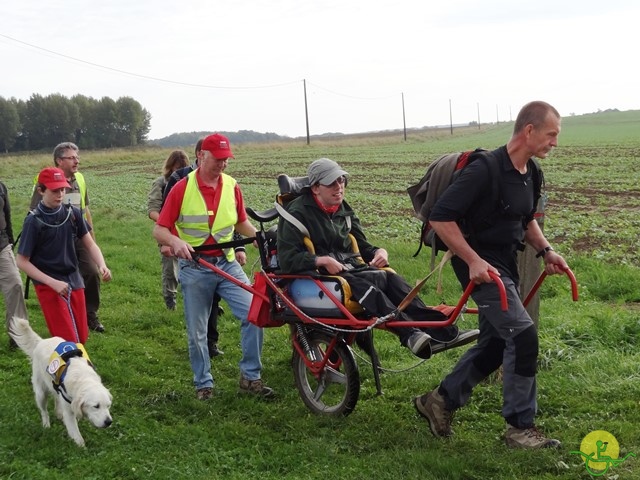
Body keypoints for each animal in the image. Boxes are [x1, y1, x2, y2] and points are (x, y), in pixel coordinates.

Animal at [9, 316, 112, 448]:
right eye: (96, 406)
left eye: (108, 406)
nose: (109, 422)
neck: (83, 378)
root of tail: (41, 341)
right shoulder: (69, 411)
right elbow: (76, 433)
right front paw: (82, 447)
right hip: (41, 393)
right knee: (44, 411)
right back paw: (46, 425)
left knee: (56, 398)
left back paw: (58, 413)